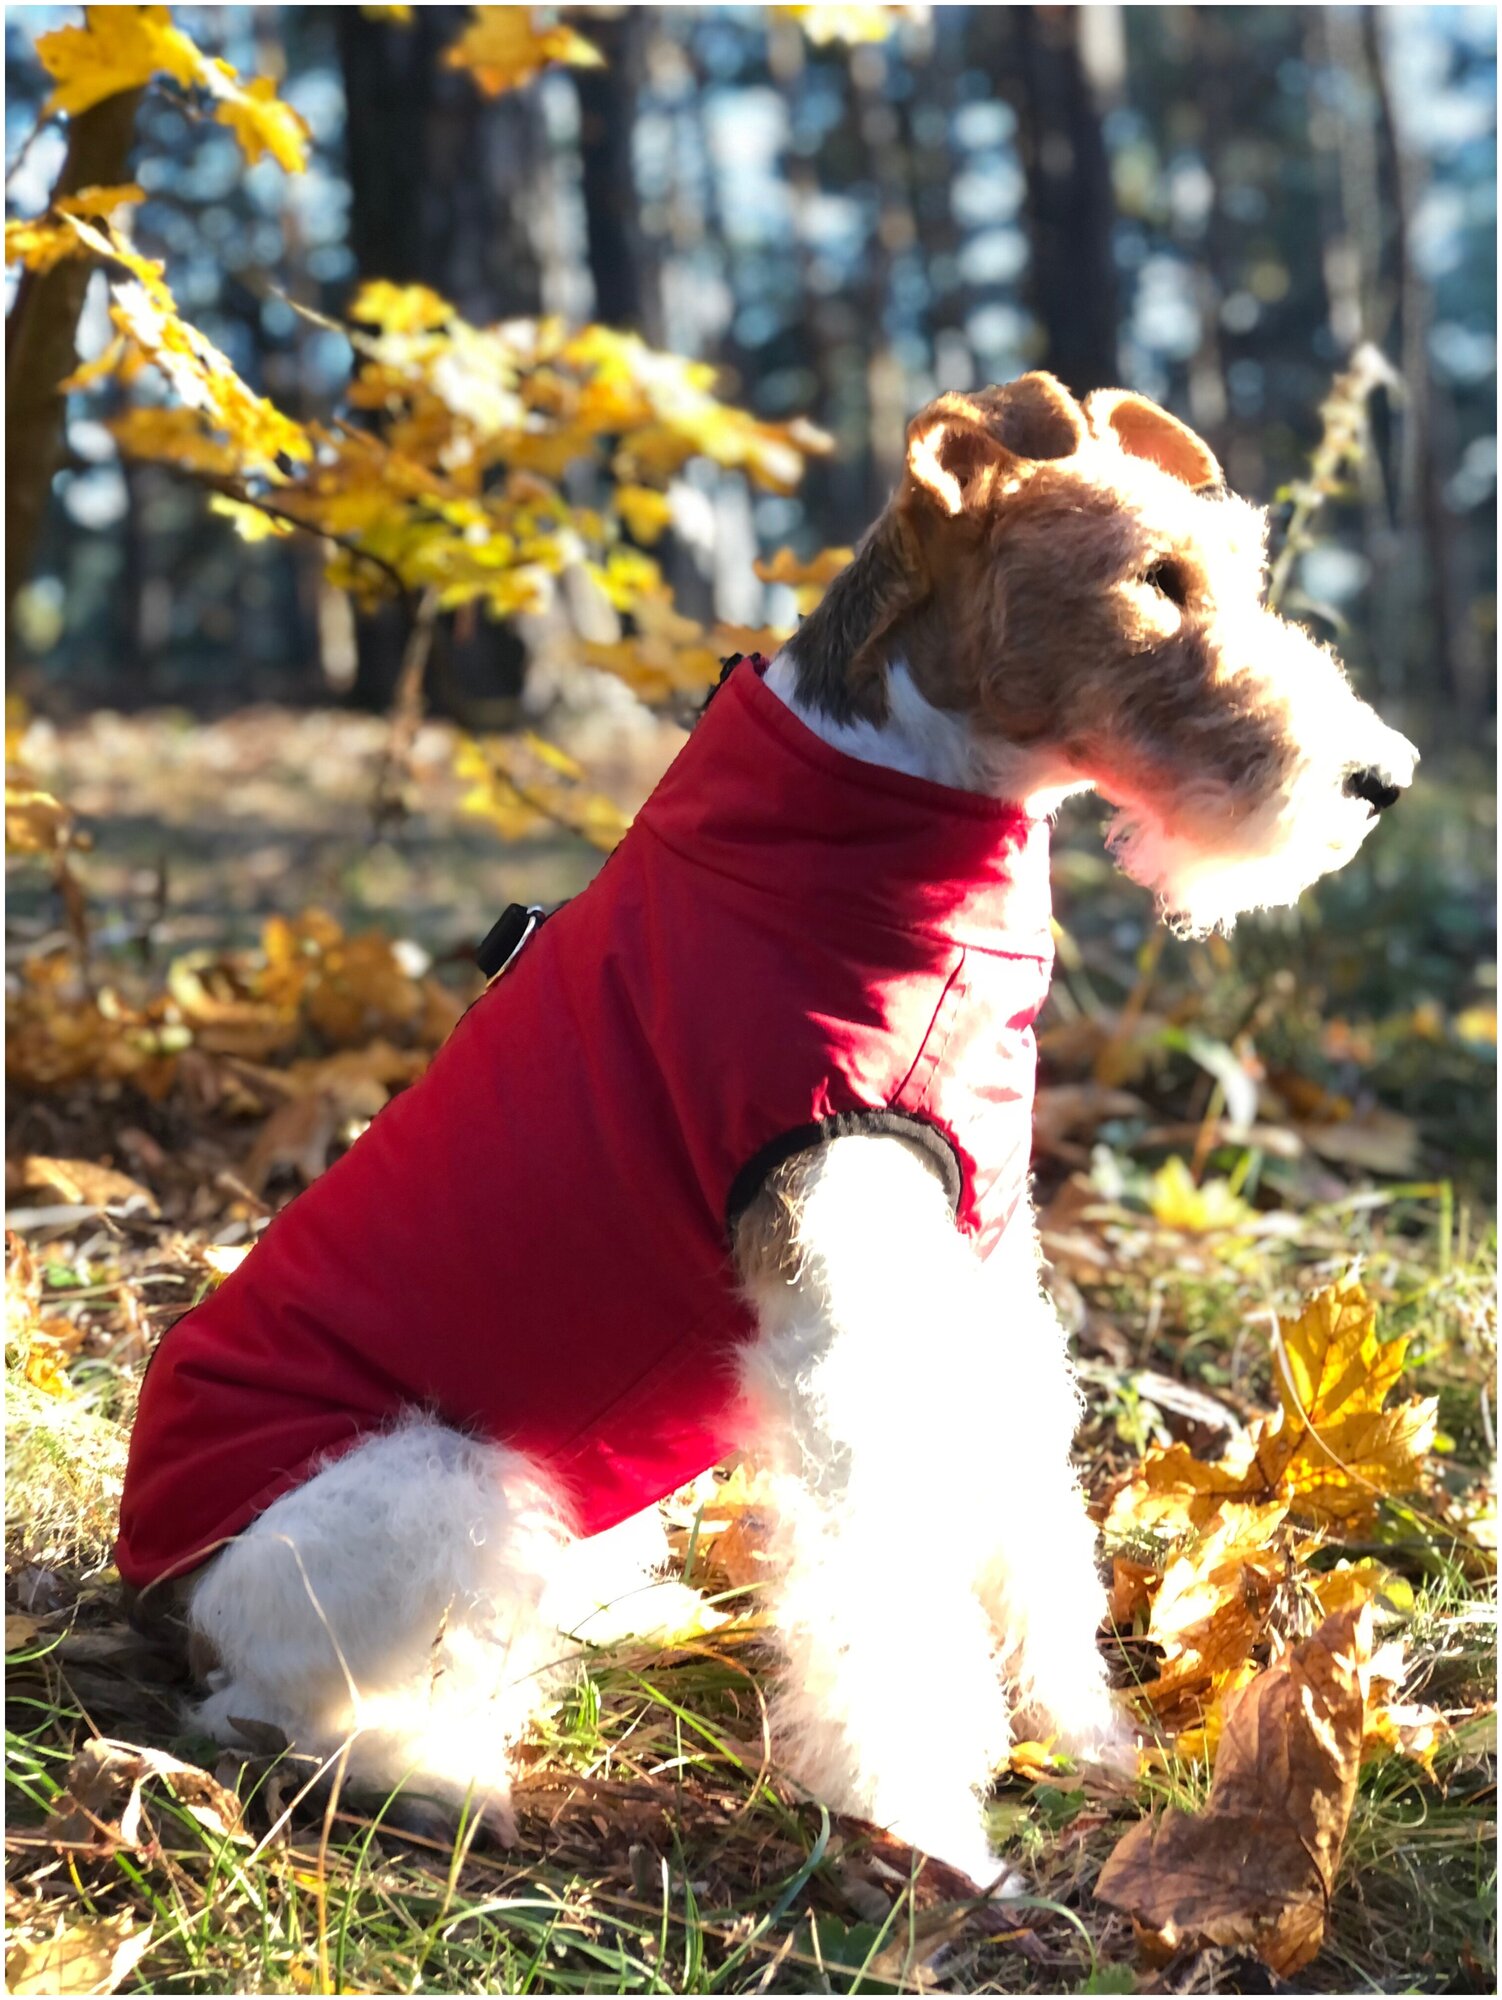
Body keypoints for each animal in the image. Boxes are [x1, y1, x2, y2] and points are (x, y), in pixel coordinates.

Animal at [120, 376, 1424, 1888]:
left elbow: (1034, 1521)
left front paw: (1089, 1744)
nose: (1381, 777)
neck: (881, 834)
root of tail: (154, 1587)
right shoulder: (838, 1323)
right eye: (1155, 581)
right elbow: (886, 1598)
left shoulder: (982, 1263)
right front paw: (933, 1836)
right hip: (442, 1482)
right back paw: (442, 1775)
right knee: (263, 1710)